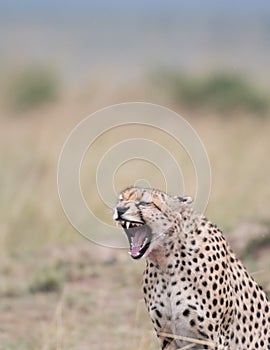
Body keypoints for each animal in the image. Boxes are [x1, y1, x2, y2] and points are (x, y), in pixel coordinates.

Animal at [113, 187, 270, 348]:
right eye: (121, 200)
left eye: (145, 202)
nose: (119, 209)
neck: (166, 262)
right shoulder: (167, 337)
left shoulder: (214, 339)